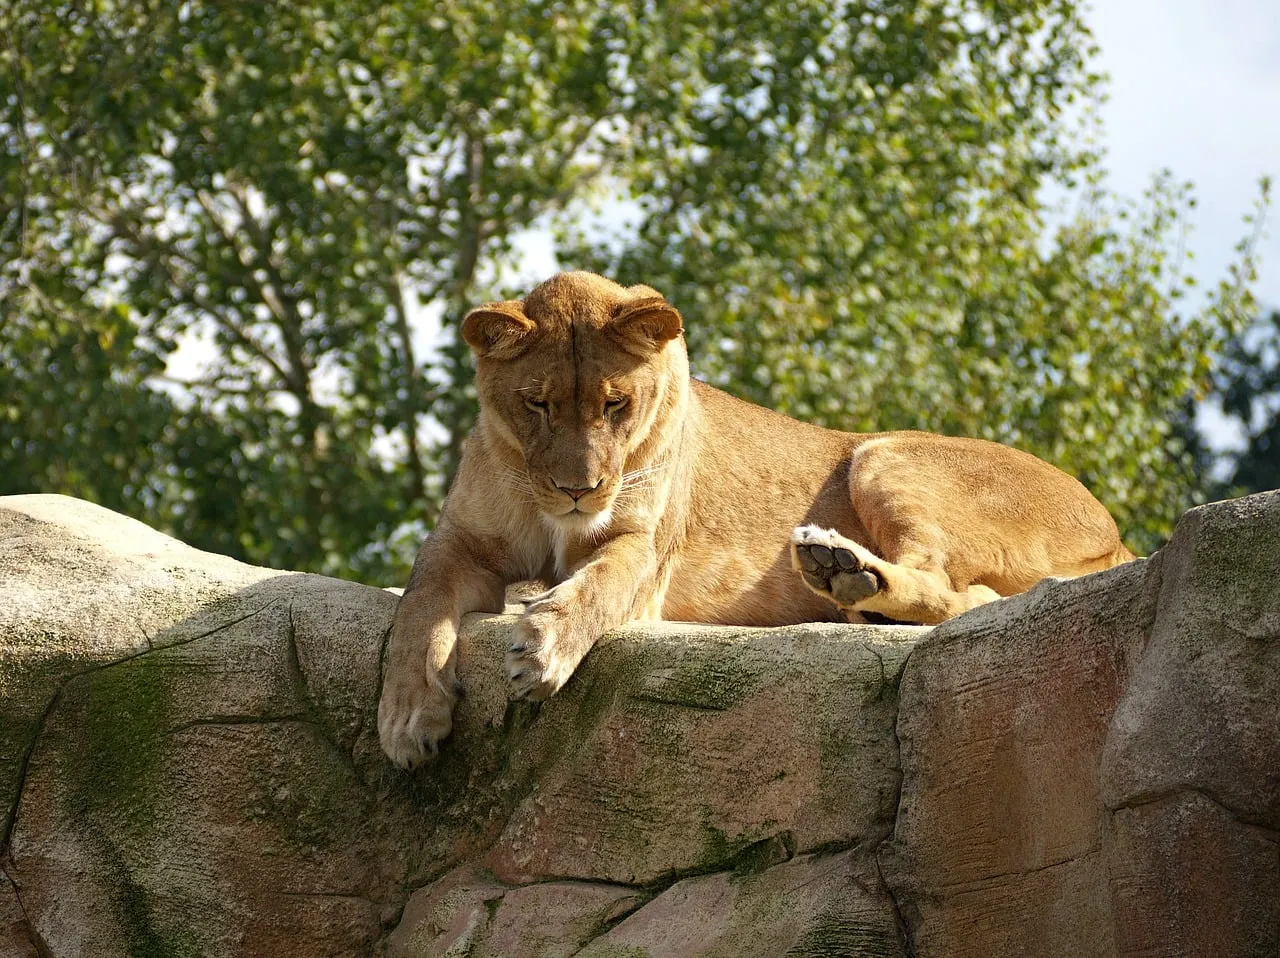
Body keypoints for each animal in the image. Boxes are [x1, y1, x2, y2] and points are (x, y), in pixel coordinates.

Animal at [378, 271, 1134, 768]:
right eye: (536, 404)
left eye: (616, 404)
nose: (578, 490)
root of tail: (1117, 533)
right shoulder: (459, 541)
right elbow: (419, 607)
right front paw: (409, 716)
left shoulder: (641, 547)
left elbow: (599, 585)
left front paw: (544, 644)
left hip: (881, 453)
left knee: (956, 590)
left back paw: (844, 570)